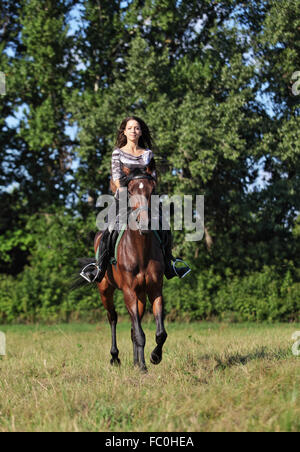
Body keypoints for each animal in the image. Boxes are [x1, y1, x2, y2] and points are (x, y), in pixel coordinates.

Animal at [92, 168, 168, 372]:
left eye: (153, 189)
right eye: (131, 191)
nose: (145, 224)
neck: (140, 250)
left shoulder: (154, 290)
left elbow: (159, 333)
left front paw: (154, 357)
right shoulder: (129, 292)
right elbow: (139, 333)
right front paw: (143, 367)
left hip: (140, 295)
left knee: (135, 327)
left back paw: (136, 361)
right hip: (105, 290)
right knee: (112, 318)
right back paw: (115, 357)